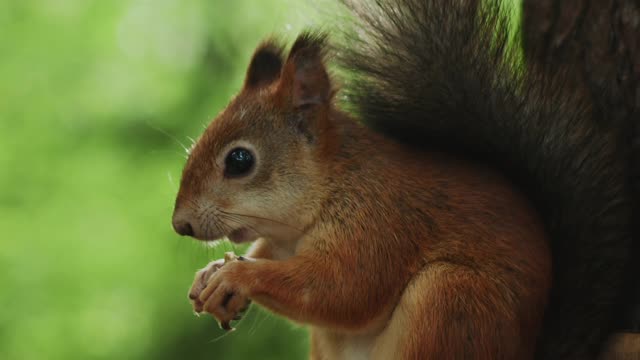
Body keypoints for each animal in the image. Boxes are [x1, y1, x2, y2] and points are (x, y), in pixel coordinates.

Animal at [172, 0, 636, 360]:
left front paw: (237, 277)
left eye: (239, 160)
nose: (181, 224)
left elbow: (340, 290)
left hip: (451, 300)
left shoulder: (378, 226)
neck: (331, 186)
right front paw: (210, 275)